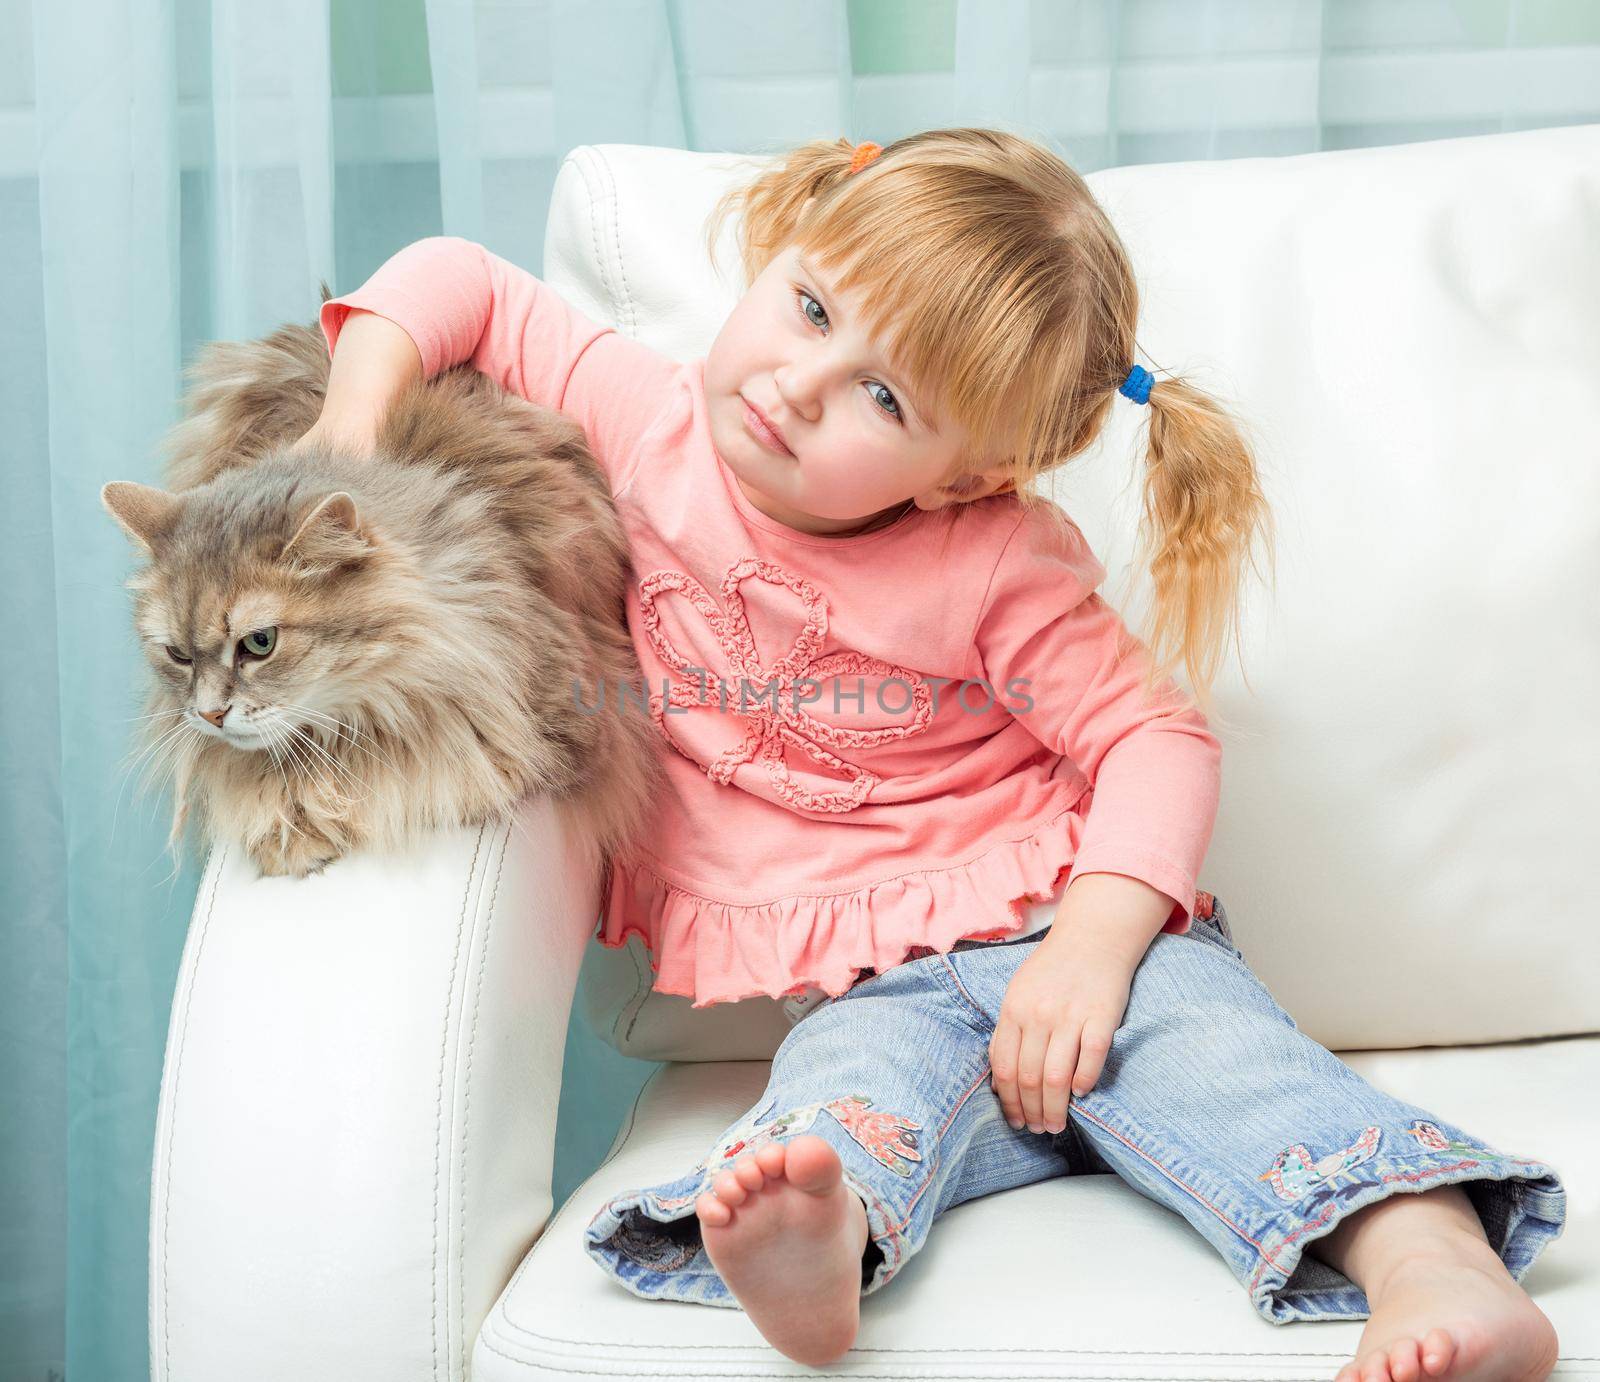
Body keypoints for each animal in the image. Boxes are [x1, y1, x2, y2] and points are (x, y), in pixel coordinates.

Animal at [101, 308, 662, 882]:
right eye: (178, 655)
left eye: (260, 643)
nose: (210, 715)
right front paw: (286, 827)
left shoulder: (552, 730)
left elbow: (405, 783)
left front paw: (305, 822)